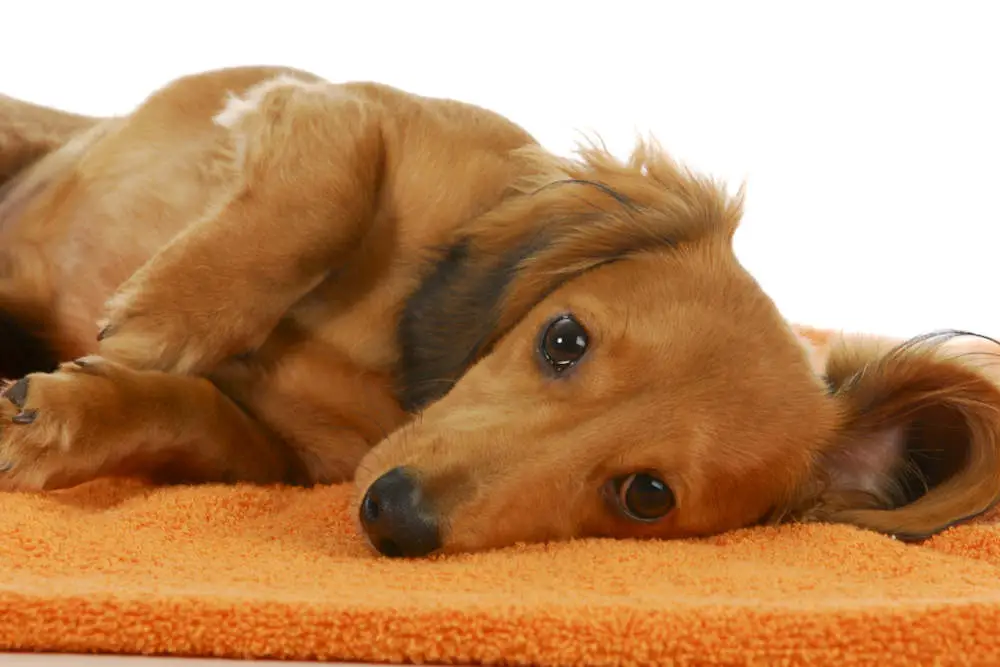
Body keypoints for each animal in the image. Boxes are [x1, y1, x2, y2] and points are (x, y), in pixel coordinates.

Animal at [1, 66, 1000, 560]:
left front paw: (61, 415)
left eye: (646, 496)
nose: (394, 516)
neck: (390, 367)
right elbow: (326, 191)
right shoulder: (333, 106)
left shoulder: (270, 453)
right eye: (563, 338)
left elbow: (185, 412)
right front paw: (164, 311)